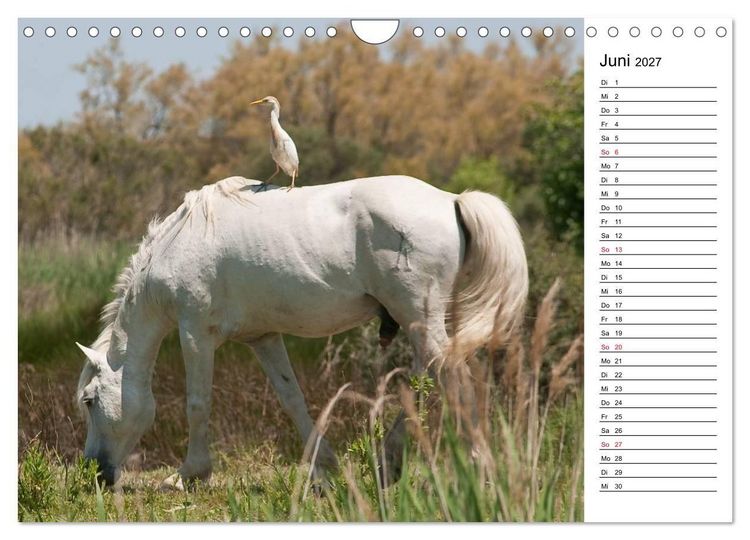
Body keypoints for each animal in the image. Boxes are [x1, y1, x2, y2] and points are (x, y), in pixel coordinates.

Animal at [75, 175, 528, 488]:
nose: (95, 472)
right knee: (425, 381)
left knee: (454, 381)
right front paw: (324, 465)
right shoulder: (263, 339)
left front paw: (188, 475)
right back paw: (388, 463)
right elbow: (292, 399)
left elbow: (198, 405)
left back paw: (479, 468)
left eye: (89, 400)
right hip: (420, 325)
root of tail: (452, 200)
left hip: (421, 318)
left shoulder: (195, 333)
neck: (178, 245)